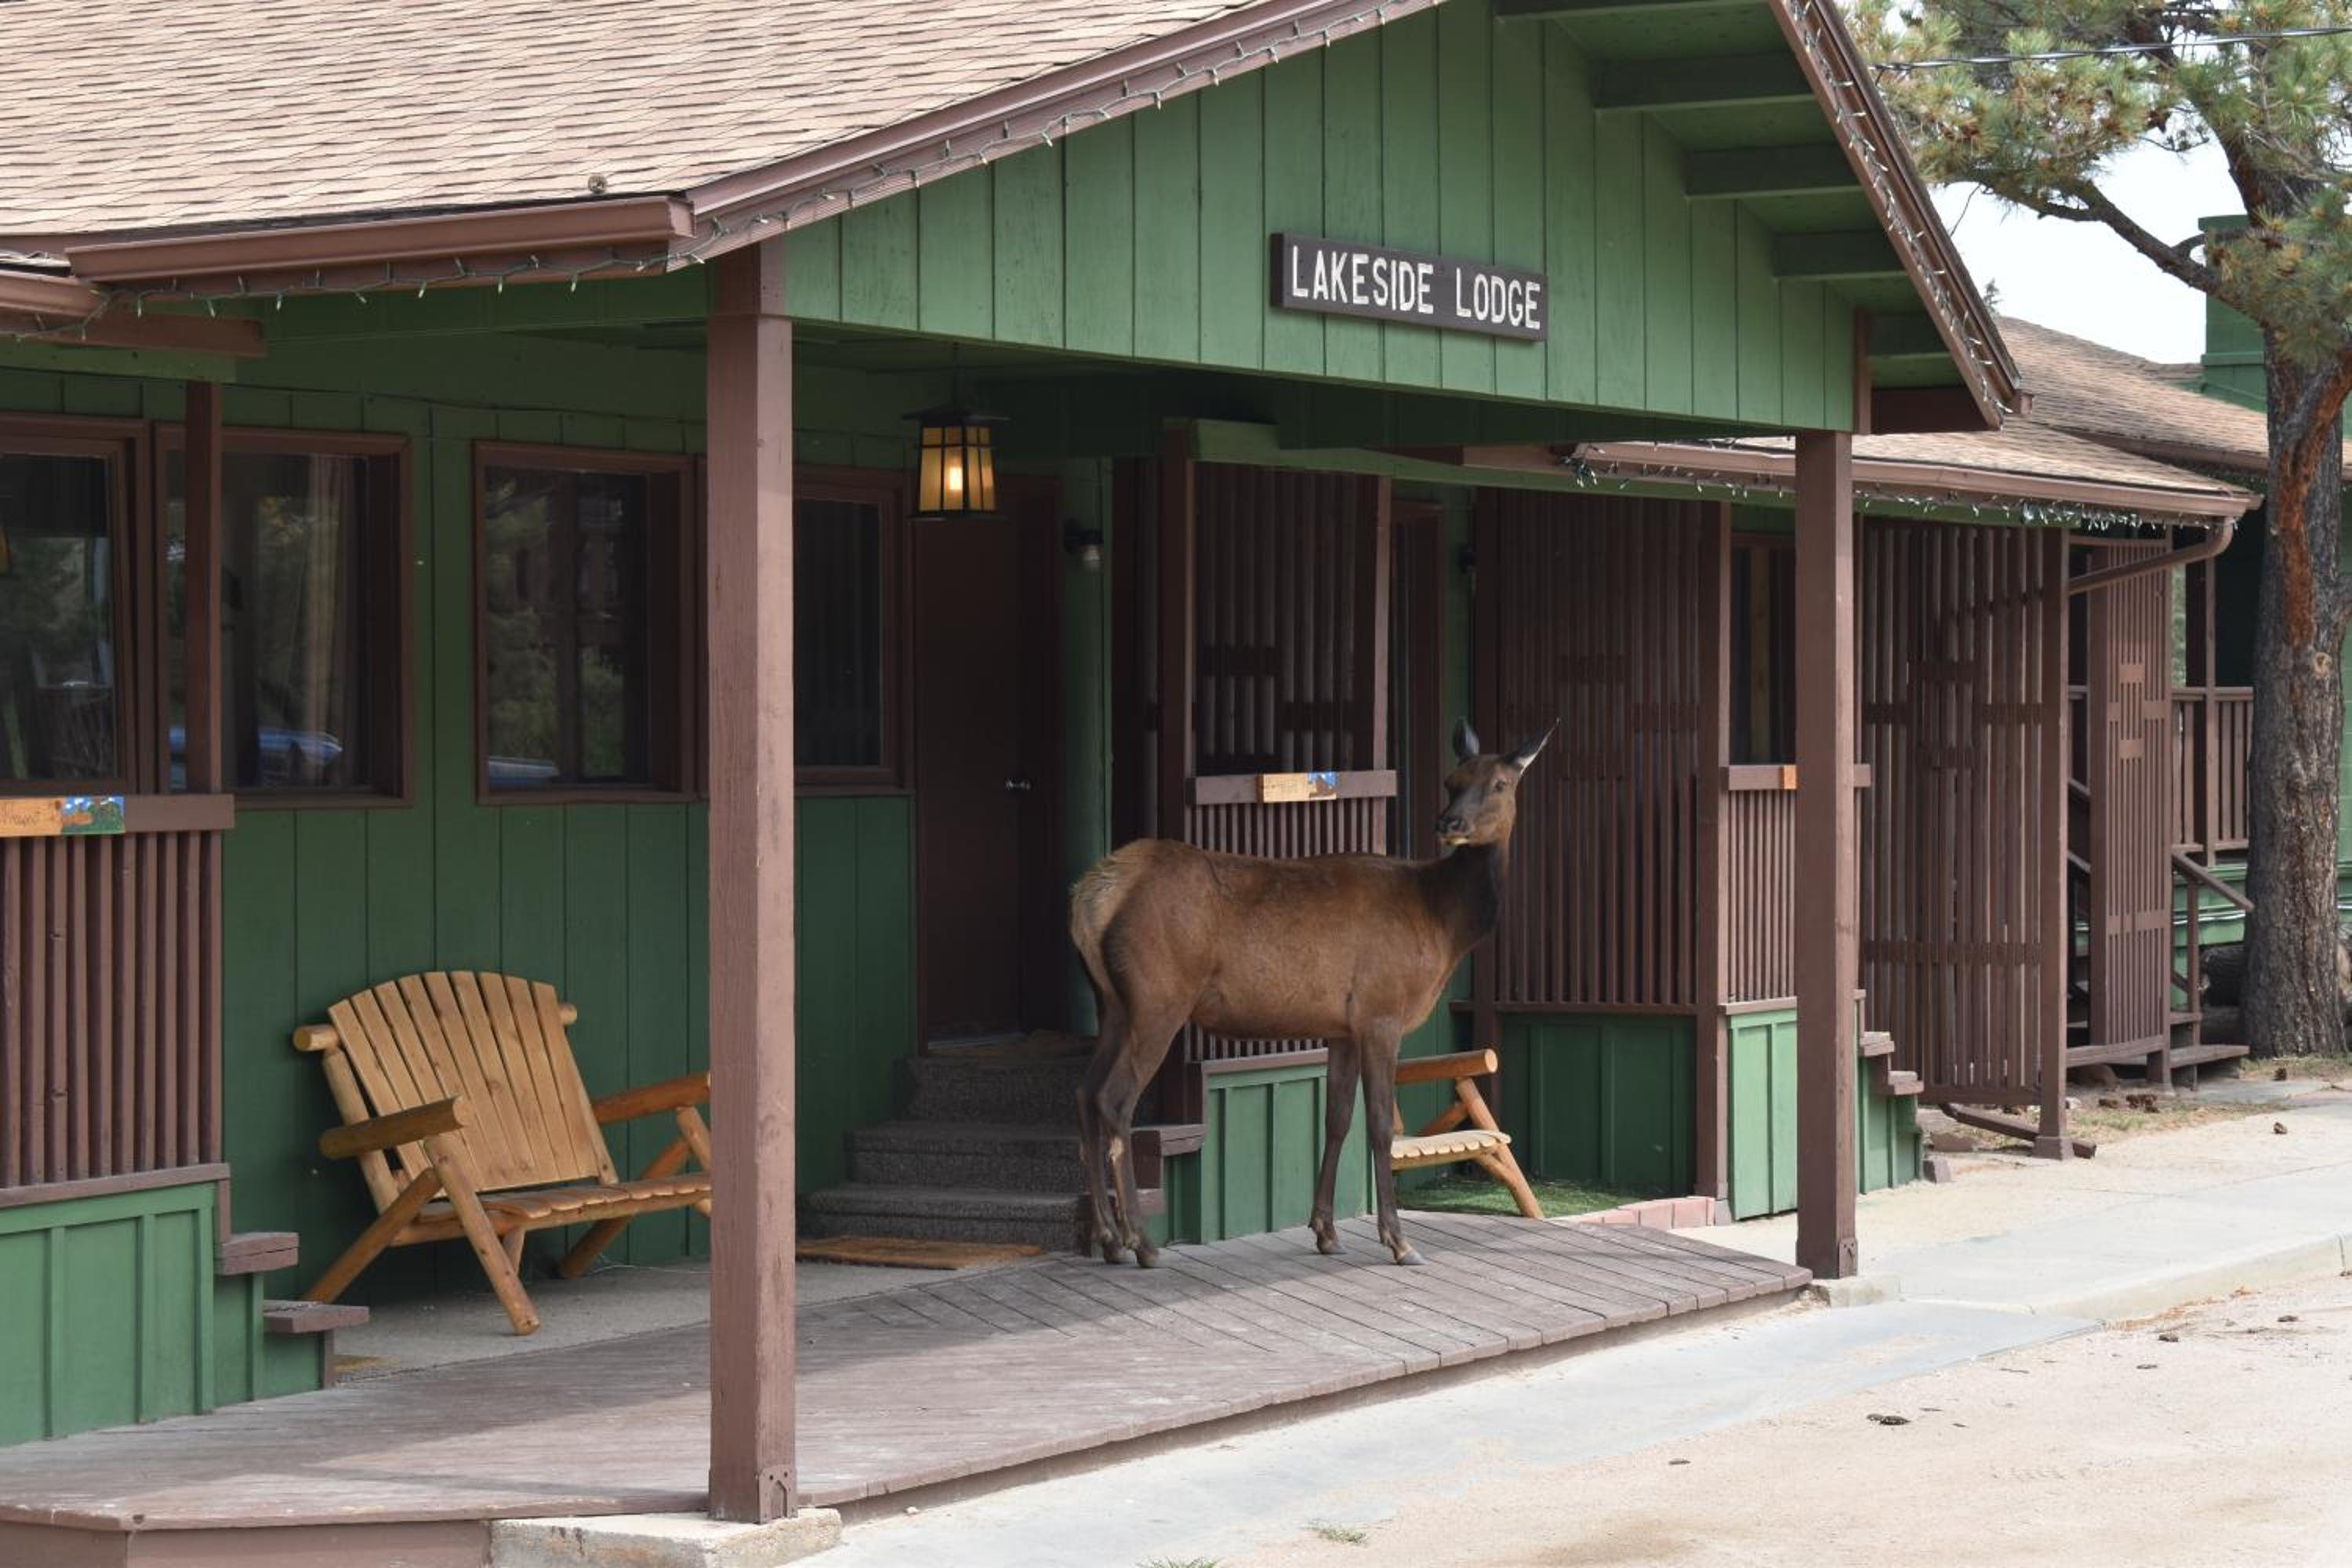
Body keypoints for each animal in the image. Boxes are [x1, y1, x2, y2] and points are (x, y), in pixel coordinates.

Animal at [1068, 718, 1553, 1269]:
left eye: (1499, 783)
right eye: (1454, 780)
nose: (1448, 821)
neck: (1442, 926)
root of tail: (1095, 895)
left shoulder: (1342, 1027)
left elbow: (1336, 1119)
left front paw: (1325, 1231)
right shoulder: (1381, 1012)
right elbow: (1379, 1124)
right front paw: (1399, 1240)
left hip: (1112, 1004)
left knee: (1084, 1092)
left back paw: (1108, 1238)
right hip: (1159, 997)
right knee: (1114, 1100)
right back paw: (1141, 1242)